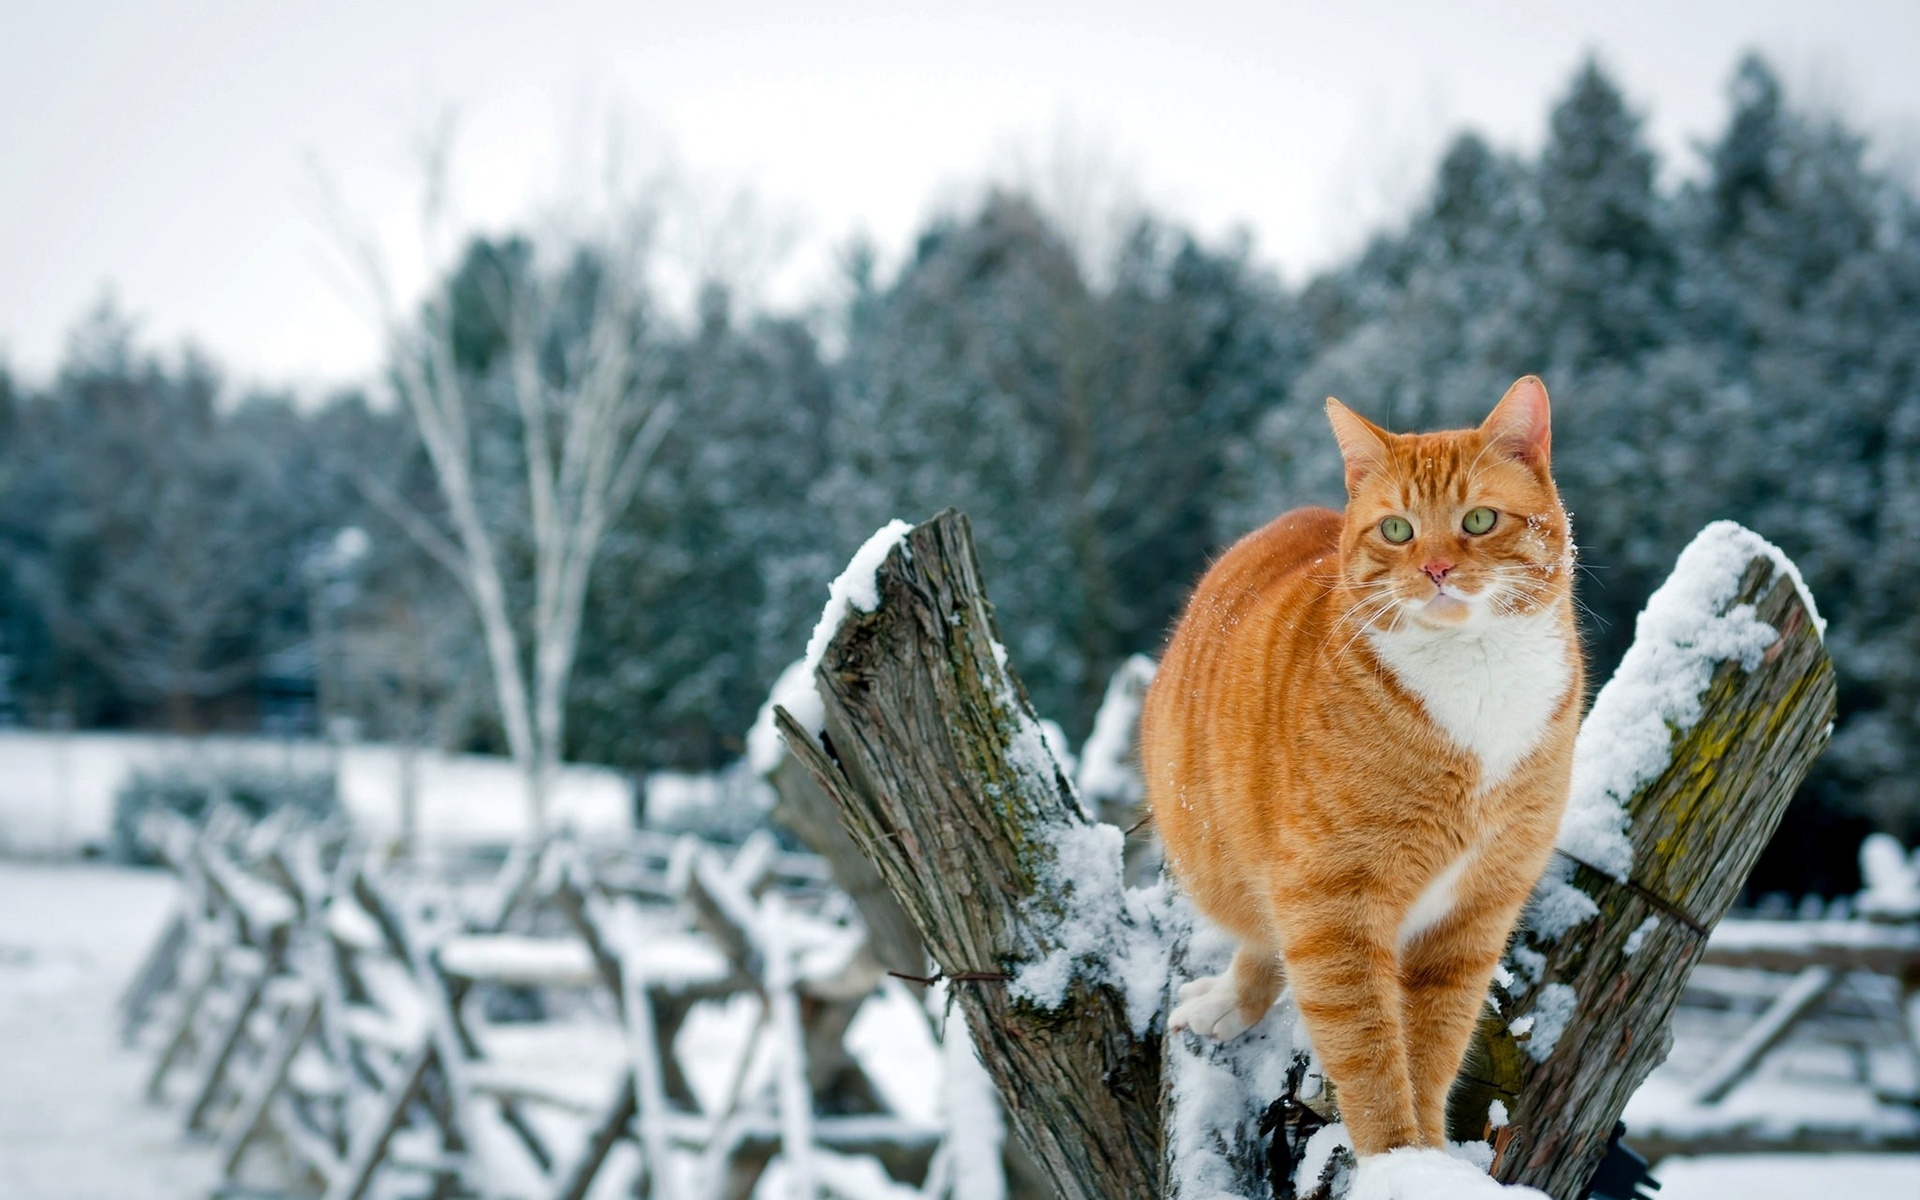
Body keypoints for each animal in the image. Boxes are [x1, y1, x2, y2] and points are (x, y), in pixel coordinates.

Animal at [1144, 378, 1582, 1159]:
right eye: (1398, 531)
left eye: (1478, 520)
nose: (1436, 569)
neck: (1475, 673)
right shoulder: (1330, 902)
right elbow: (1370, 1055)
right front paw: (1396, 1161)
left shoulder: (1476, 912)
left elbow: (1432, 1049)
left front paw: (1432, 1158)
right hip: (1235, 859)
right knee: (1263, 936)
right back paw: (1231, 1001)